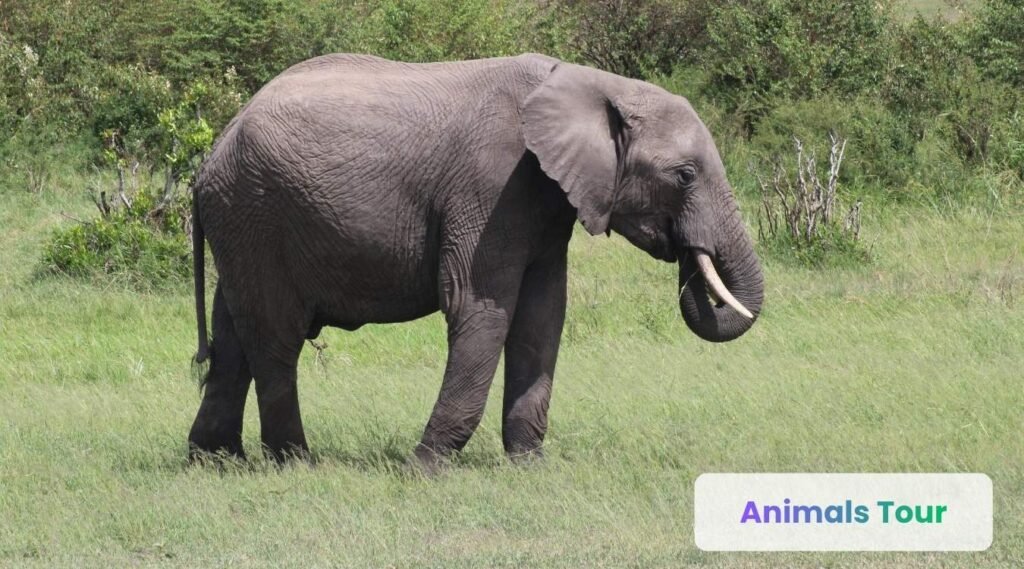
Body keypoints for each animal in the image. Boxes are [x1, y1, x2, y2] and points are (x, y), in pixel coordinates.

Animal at [186, 53, 764, 467]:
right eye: (685, 175)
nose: (692, 264)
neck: (596, 84)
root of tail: (210, 155)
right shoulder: (491, 188)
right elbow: (481, 309)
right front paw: (422, 469)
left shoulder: (544, 202)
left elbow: (542, 316)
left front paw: (530, 466)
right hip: (258, 212)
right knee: (275, 336)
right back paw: (297, 464)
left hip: (243, 225)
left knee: (233, 335)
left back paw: (215, 463)